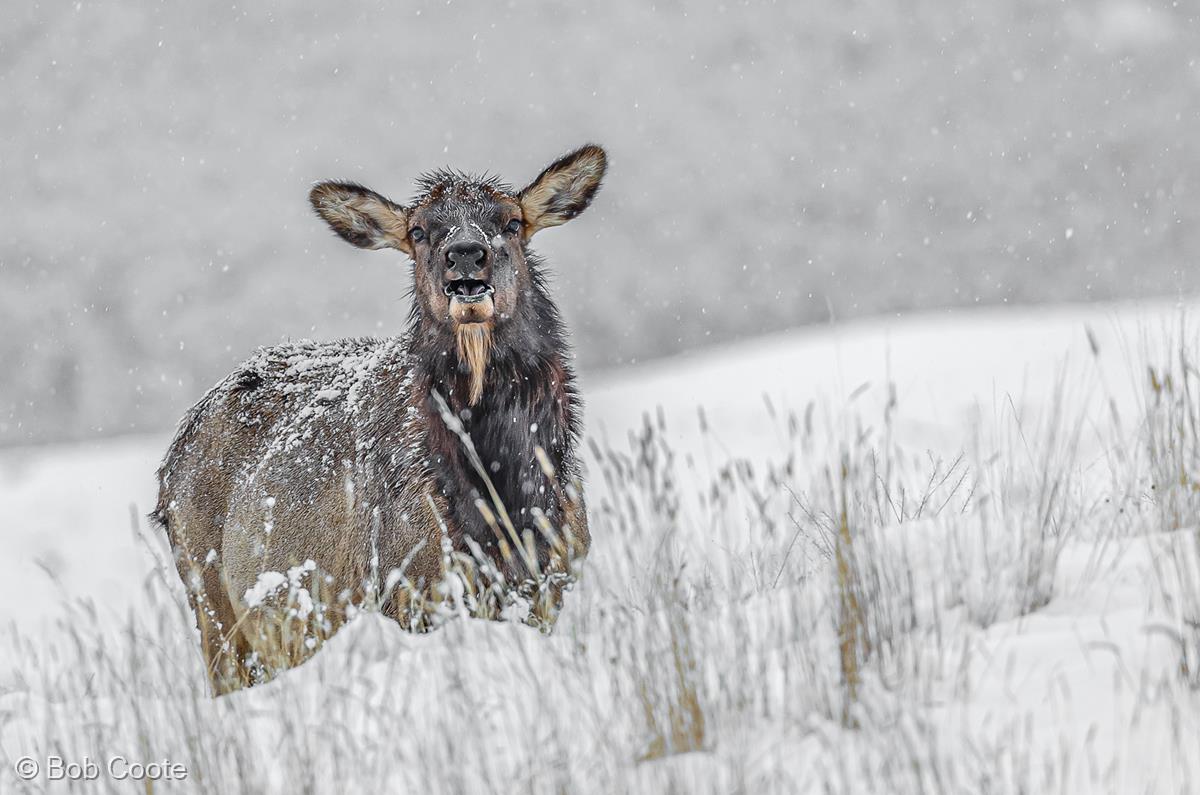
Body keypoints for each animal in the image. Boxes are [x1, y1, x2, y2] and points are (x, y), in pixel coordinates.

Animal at [154, 146, 604, 696]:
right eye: (419, 231)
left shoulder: (556, 582)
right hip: (213, 607)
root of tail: (168, 470)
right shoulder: (407, 590)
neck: (504, 506)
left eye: (512, 221)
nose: (466, 254)